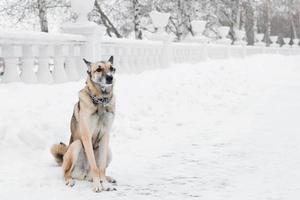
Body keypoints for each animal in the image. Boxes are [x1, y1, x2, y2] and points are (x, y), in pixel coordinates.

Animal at [51, 55, 116, 192]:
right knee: (66, 173)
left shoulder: (105, 136)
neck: (101, 100)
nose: (110, 78)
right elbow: (95, 166)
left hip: (109, 150)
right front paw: (98, 185)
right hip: (76, 145)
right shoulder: (86, 136)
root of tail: (85, 175)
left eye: (112, 68)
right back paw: (70, 181)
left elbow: (101, 167)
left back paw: (107, 178)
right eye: (98, 69)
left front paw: (104, 184)